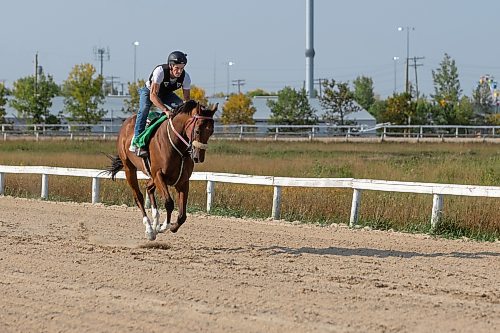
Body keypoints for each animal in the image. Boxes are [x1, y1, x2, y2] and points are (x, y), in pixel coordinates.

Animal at [106, 100, 218, 240]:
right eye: (197, 131)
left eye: (211, 131)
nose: (198, 157)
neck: (178, 147)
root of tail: (125, 124)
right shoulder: (159, 175)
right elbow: (169, 202)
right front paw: (163, 226)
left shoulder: (183, 180)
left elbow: (182, 215)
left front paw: (170, 227)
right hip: (129, 168)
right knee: (138, 196)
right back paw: (149, 229)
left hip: (152, 175)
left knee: (149, 187)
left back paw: (155, 222)